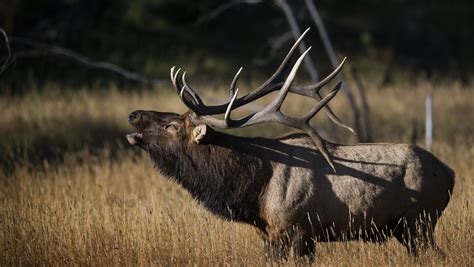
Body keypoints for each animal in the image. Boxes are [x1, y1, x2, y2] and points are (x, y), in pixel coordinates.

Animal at [127, 28, 456, 260]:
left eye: (171, 125)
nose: (134, 114)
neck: (254, 190)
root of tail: (450, 173)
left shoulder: (299, 230)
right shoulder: (269, 235)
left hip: (420, 222)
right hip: (410, 228)